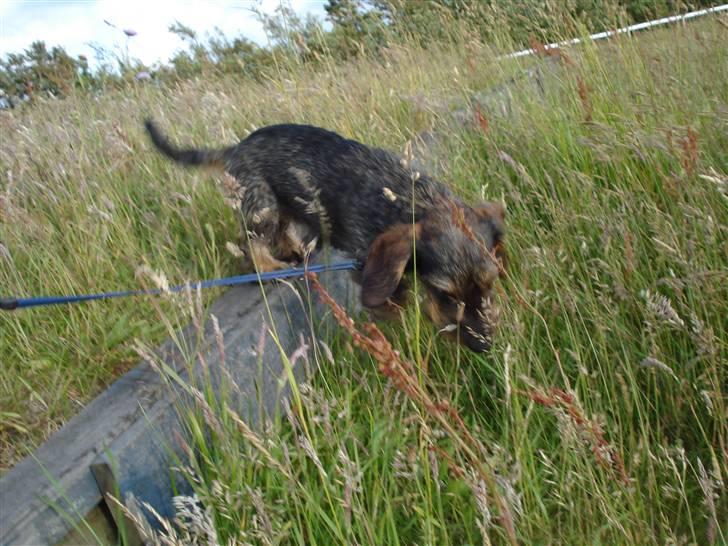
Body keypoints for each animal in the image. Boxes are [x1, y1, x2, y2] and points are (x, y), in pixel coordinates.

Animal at [144, 119, 506, 350]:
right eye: (445, 296)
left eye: (489, 285)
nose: (484, 347)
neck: (411, 199)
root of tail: (236, 147)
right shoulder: (366, 259)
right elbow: (394, 300)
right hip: (262, 207)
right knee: (253, 244)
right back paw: (271, 267)